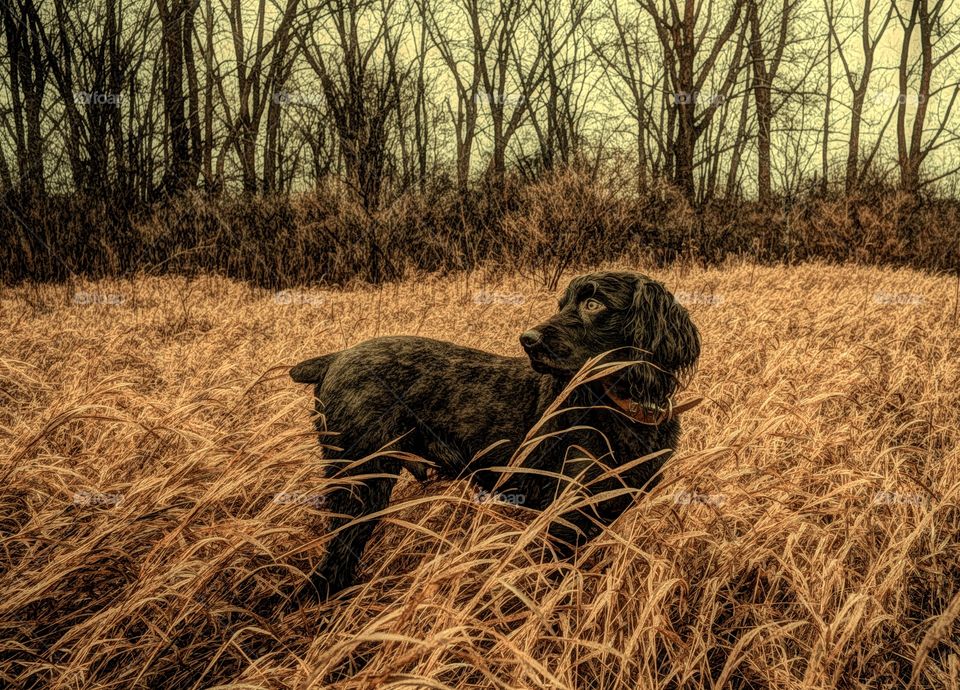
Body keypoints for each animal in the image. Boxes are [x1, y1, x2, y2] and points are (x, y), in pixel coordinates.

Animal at [288, 272, 700, 592]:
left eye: (593, 304)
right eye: (563, 303)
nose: (527, 340)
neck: (619, 407)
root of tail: (335, 358)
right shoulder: (564, 516)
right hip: (361, 481)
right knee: (336, 558)